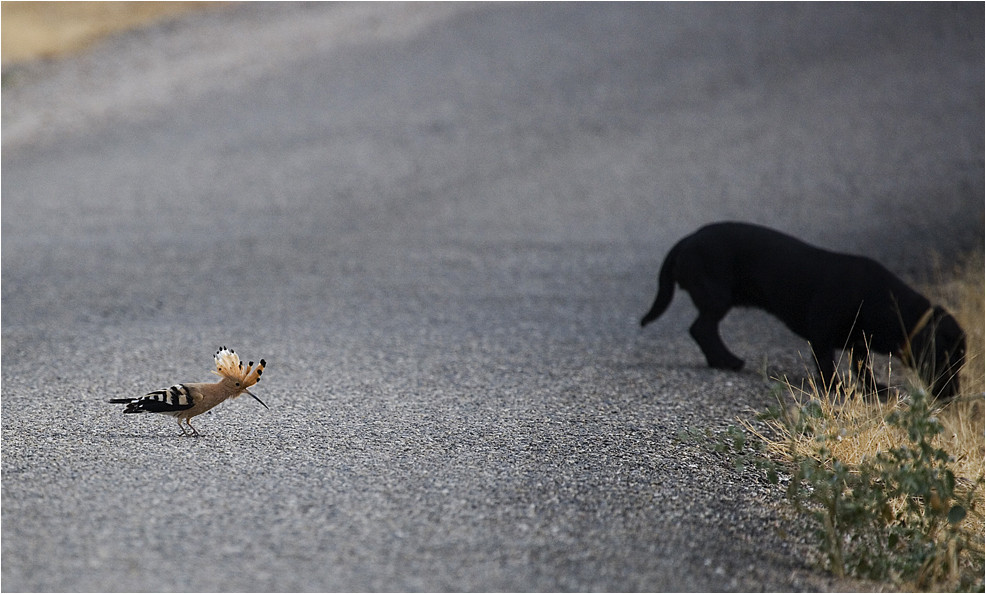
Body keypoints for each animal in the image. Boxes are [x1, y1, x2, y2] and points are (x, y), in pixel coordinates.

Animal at [640, 222, 960, 398]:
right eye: (947, 359)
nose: (953, 395)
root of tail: (687, 239)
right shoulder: (821, 332)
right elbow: (828, 365)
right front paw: (837, 389)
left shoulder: (859, 341)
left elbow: (862, 367)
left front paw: (876, 389)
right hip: (717, 297)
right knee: (702, 329)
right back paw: (728, 361)